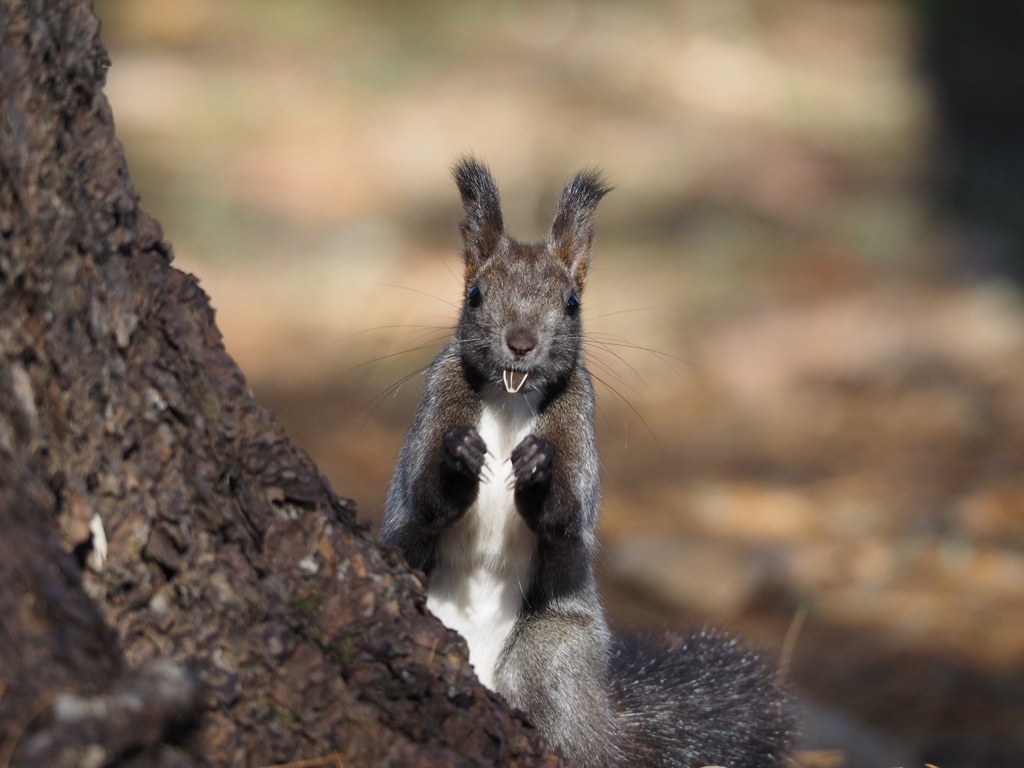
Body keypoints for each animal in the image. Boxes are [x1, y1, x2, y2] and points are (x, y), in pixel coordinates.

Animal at [380, 157, 794, 768]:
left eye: (572, 303)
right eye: (475, 294)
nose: (521, 342)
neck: (510, 397)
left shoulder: (580, 419)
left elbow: (569, 514)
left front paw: (540, 468)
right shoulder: (435, 401)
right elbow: (421, 498)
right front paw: (458, 458)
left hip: (553, 653)